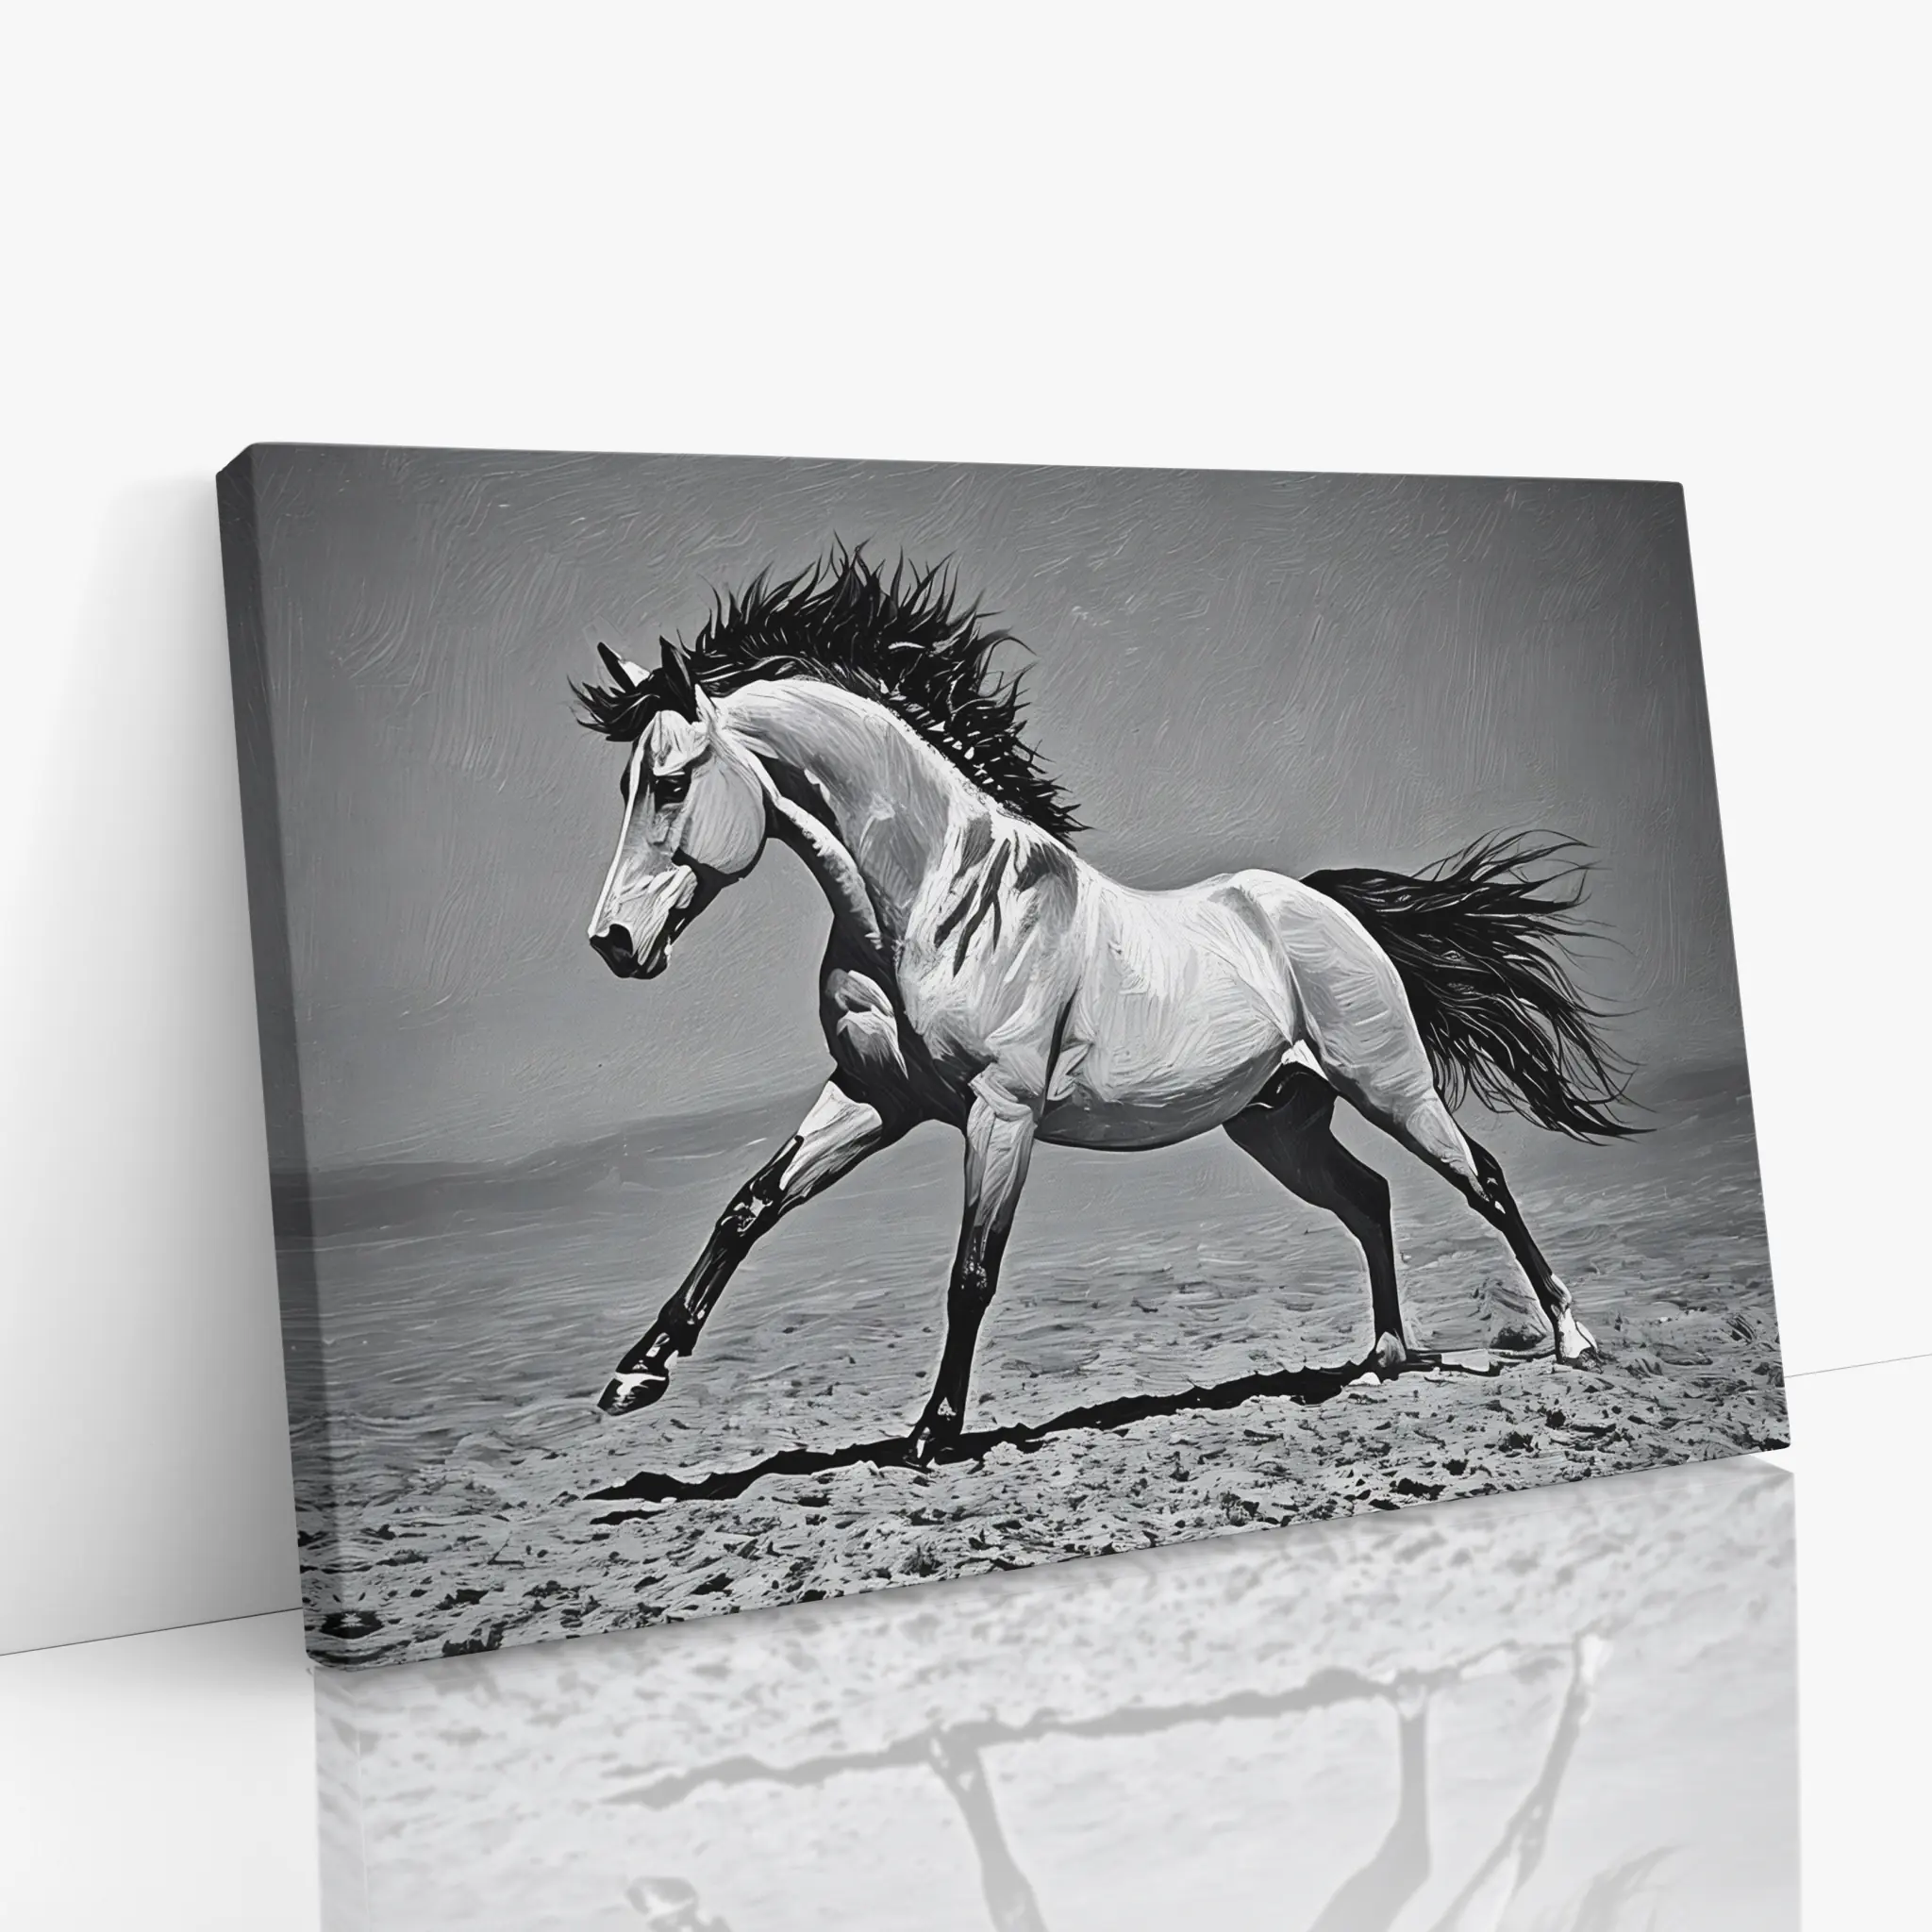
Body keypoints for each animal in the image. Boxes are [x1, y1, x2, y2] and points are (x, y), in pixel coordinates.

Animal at [574, 549, 1636, 1467]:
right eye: (624, 782)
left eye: (669, 782)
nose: (613, 942)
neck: (936, 903)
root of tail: (1322, 903)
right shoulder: (876, 1094)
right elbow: (747, 1206)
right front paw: (636, 1374)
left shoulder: (1001, 1113)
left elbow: (971, 1271)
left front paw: (933, 1433)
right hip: (1279, 1123)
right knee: (1369, 1198)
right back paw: (1382, 1358)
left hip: (1392, 1086)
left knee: (1484, 1179)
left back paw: (1572, 1338)